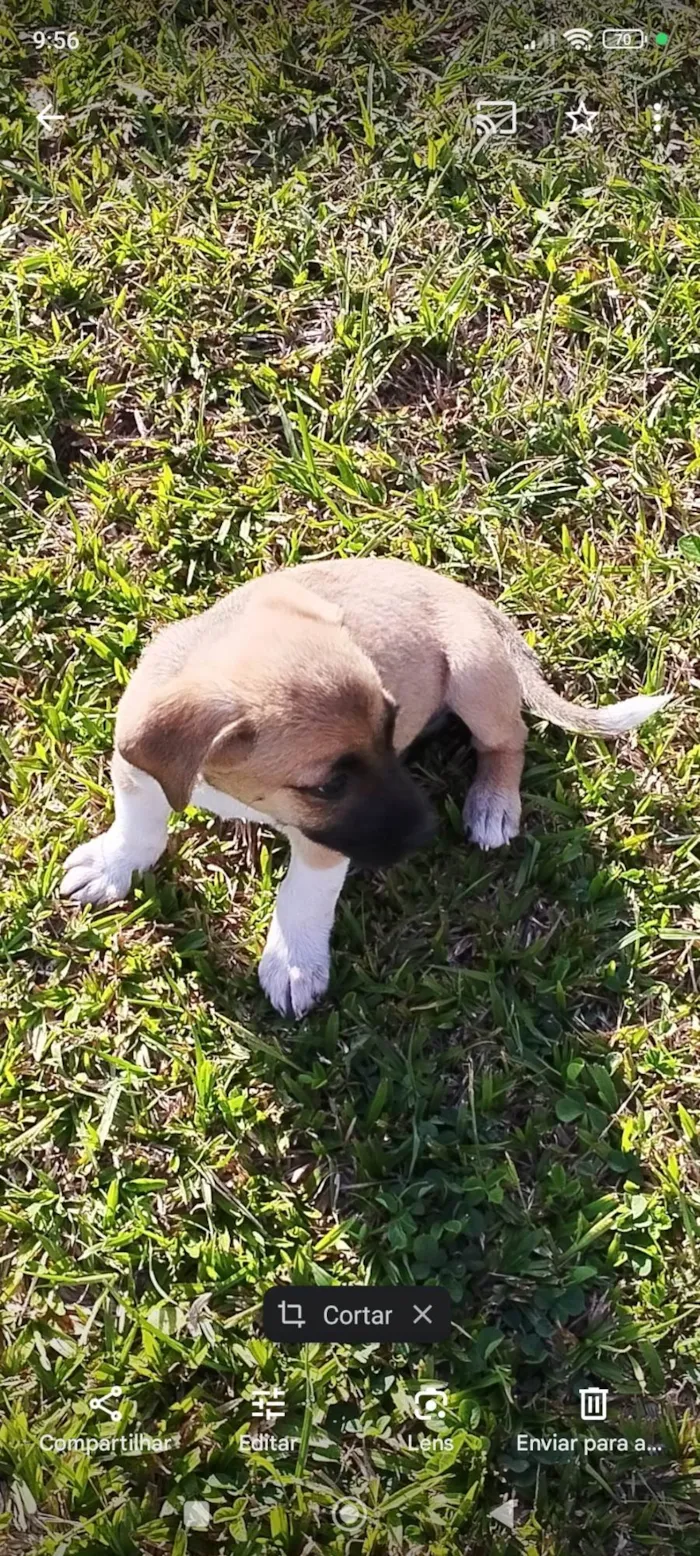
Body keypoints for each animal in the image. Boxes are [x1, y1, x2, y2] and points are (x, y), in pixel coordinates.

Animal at [61, 560, 672, 1020]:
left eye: (392, 725)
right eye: (329, 784)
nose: (426, 833)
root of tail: (474, 602)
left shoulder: (326, 843)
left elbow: (302, 897)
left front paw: (294, 961)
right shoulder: (138, 769)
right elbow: (138, 827)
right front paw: (113, 865)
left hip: (474, 675)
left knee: (509, 739)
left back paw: (494, 804)